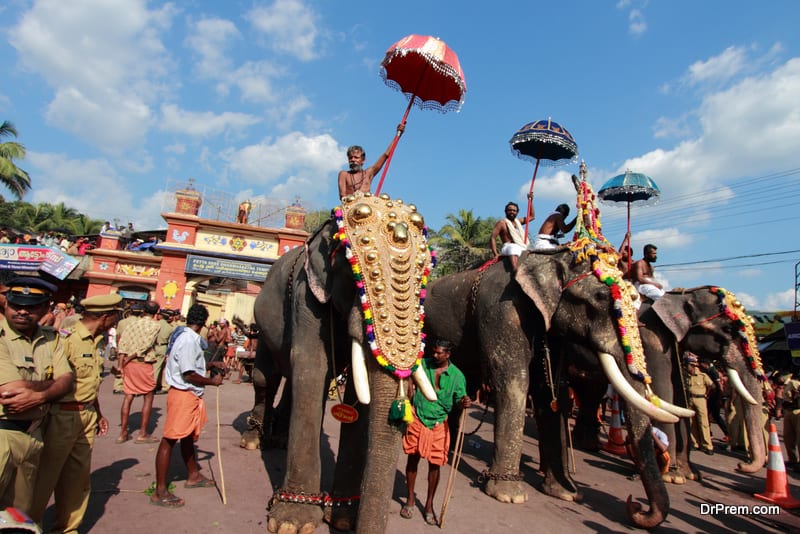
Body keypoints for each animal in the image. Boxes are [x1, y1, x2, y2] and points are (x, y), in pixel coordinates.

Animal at [252, 195, 438, 534]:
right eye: (355, 279)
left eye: (424, 285)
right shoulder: (307, 295)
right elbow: (312, 369)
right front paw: (291, 523)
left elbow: (357, 393)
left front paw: (342, 518)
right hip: (260, 324)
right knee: (265, 377)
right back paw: (253, 439)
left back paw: (280, 439)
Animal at [422, 245, 684, 528]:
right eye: (600, 296)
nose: (635, 505)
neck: (550, 258)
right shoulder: (502, 312)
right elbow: (514, 381)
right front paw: (509, 496)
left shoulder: (553, 332)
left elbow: (550, 391)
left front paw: (566, 493)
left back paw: (449, 450)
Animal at [572, 288, 764, 486]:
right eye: (727, 329)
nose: (741, 466)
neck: (678, 296)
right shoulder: (651, 337)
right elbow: (664, 389)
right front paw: (673, 476)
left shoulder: (675, 347)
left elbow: (680, 396)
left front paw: (690, 474)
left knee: (590, 391)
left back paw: (590, 445)